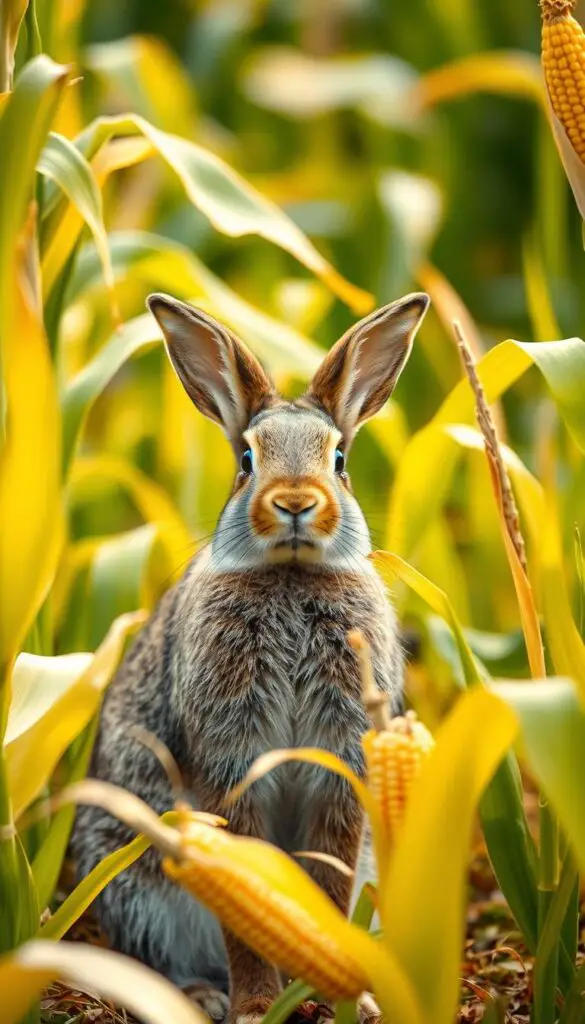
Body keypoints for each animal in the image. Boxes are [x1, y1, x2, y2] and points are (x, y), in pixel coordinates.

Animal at [72, 289, 429, 1024]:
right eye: (244, 459)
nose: (295, 502)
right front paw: (259, 1005)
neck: (289, 577)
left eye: (339, 459)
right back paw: (203, 995)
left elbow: (327, 876)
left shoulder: (340, 760)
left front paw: (337, 993)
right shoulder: (229, 756)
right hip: (137, 878)